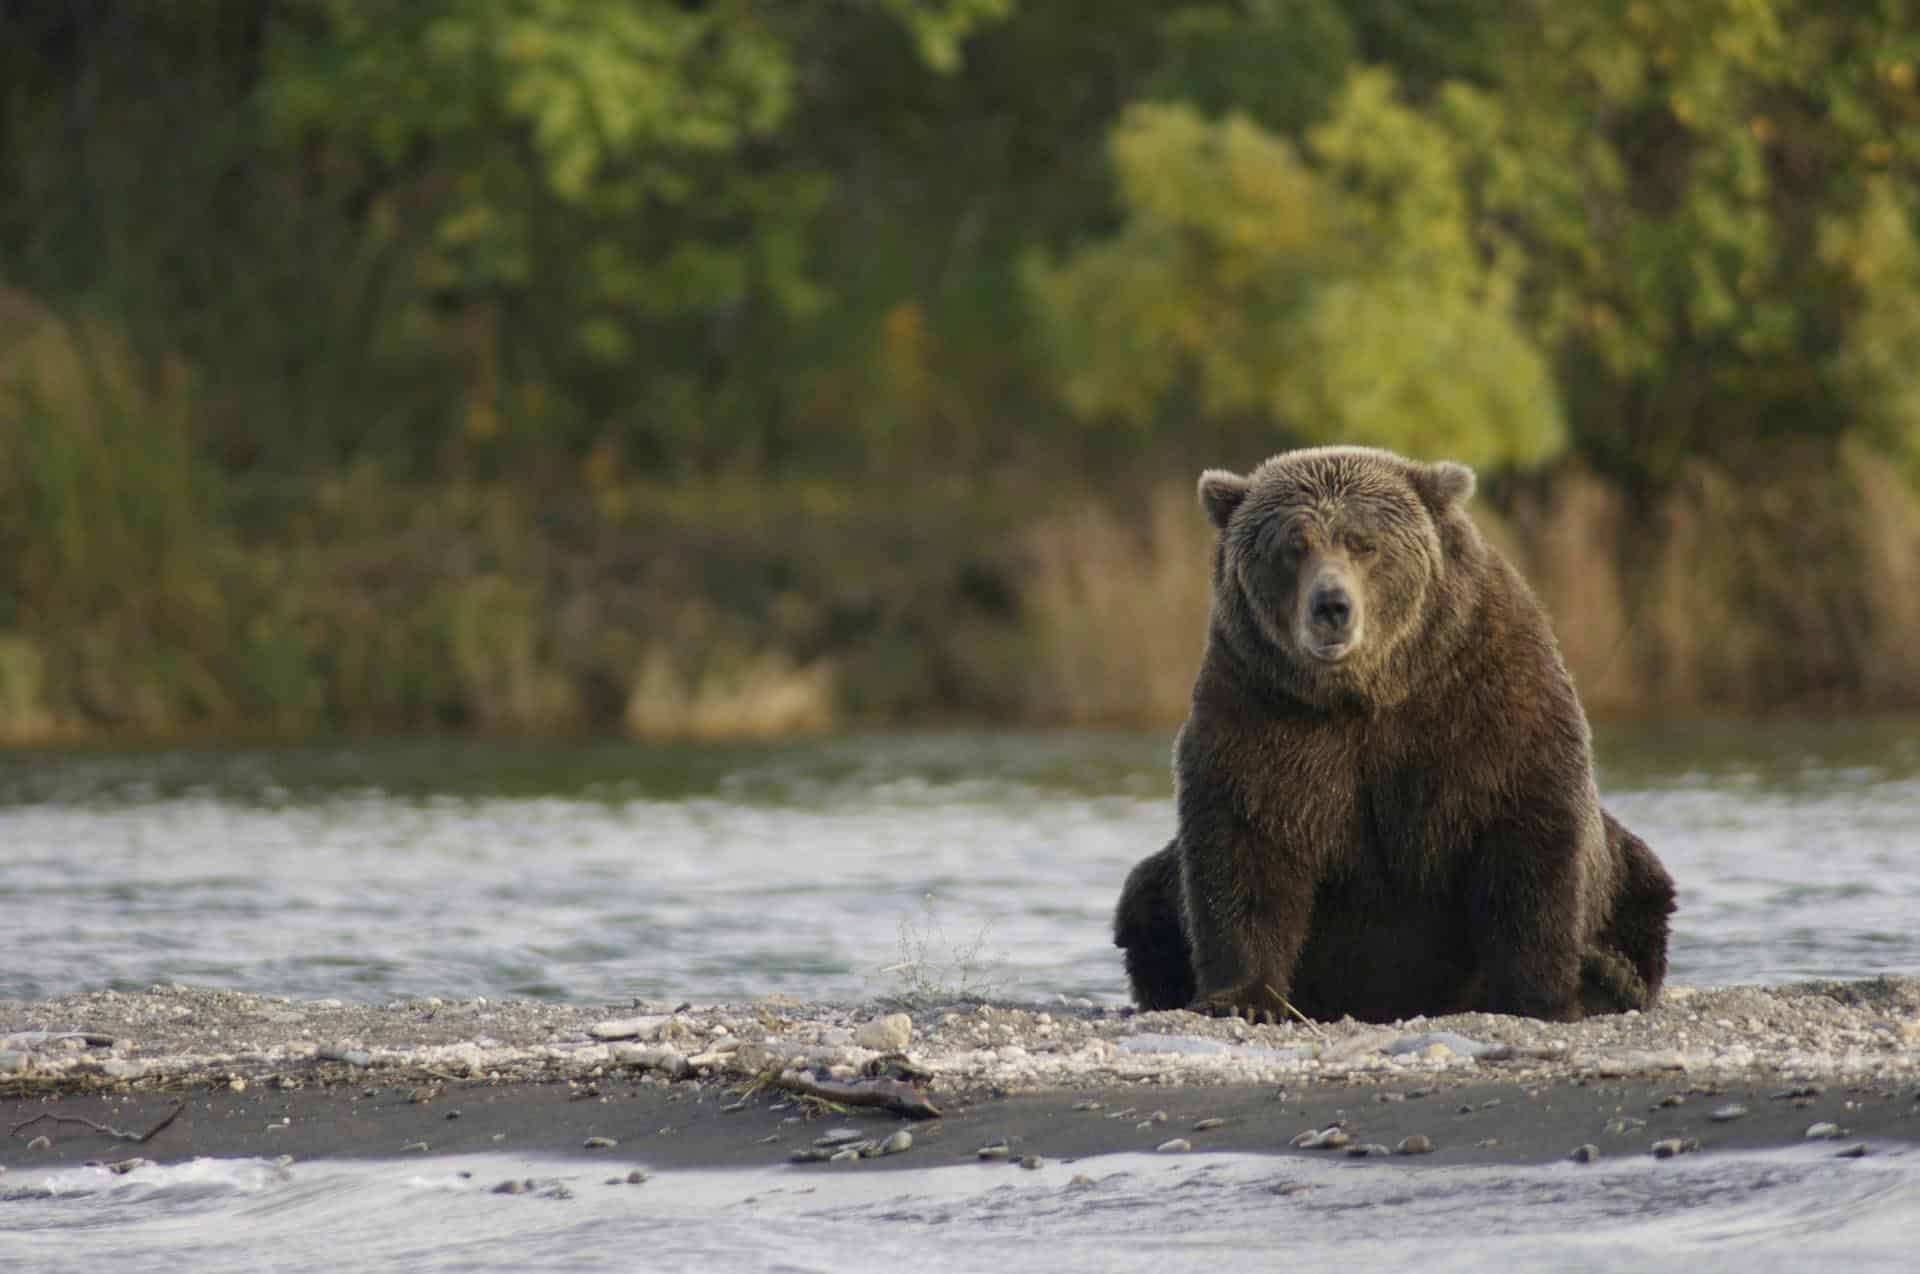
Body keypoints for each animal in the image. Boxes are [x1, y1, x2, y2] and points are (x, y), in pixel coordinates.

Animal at [1121, 447, 1674, 1028]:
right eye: (1294, 546)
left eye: (1365, 543)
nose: (1331, 606)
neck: (1367, 692)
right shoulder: (1260, 708)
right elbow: (1245, 842)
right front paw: (1244, 998)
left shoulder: (1486, 698)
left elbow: (1528, 839)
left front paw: (1541, 997)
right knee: (1143, 897)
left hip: (1624, 871)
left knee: (1644, 885)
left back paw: (1610, 976)